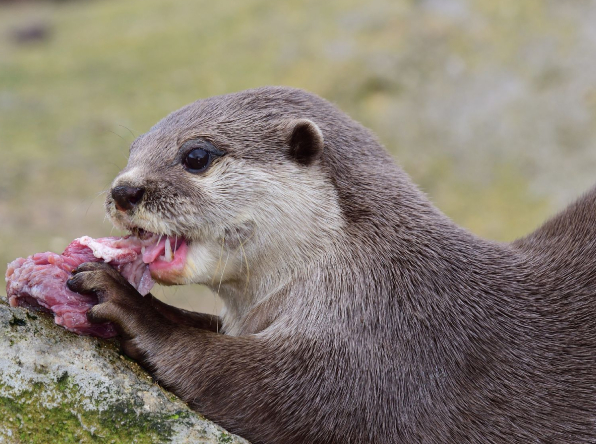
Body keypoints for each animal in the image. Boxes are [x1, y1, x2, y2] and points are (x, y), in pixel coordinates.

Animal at [66, 87, 596, 444]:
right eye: (132, 150)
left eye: (196, 155)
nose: (123, 191)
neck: (379, 273)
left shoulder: (394, 352)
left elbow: (260, 386)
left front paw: (132, 306)